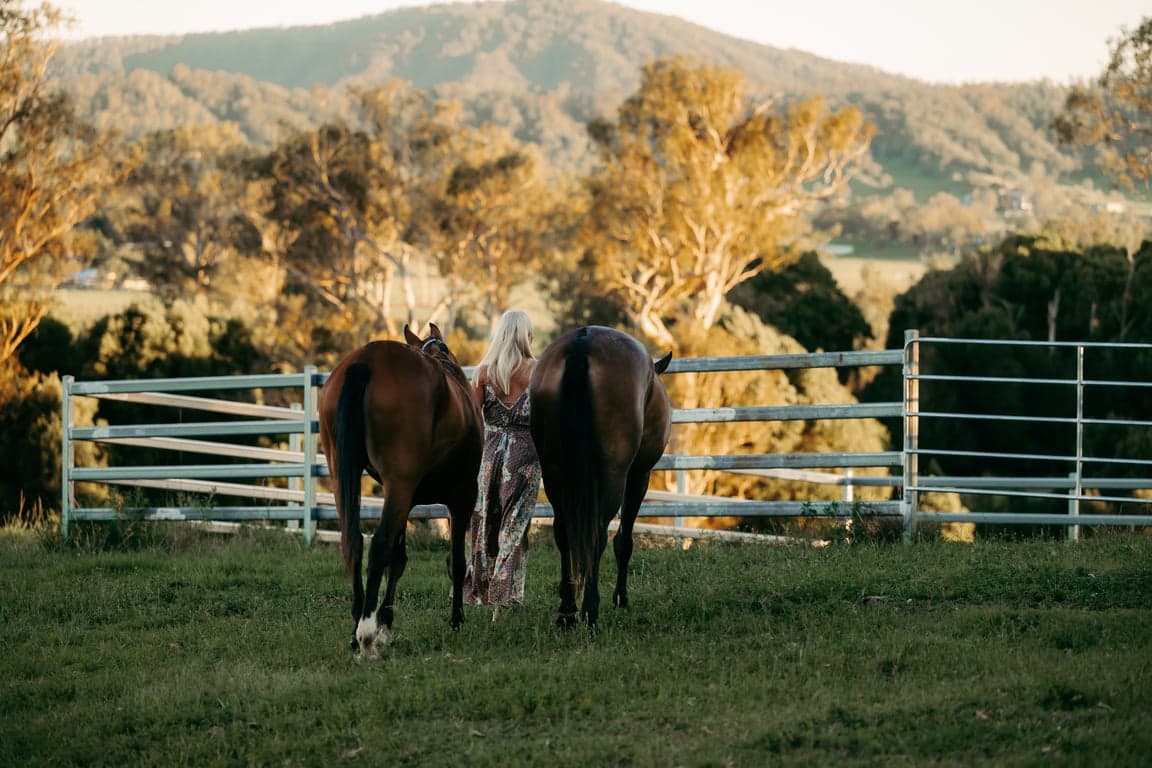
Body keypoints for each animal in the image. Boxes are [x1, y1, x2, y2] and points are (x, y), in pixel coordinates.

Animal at [318, 323, 483, 658]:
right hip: (401, 485)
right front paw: (456, 620)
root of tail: (366, 360)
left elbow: (398, 559)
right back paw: (366, 635)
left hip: (346, 477)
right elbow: (456, 561)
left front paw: (386, 624)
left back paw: (357, 628)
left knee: (354, 542)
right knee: (378, 545)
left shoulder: (406, 500)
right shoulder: (462, 496)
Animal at [529, 325, 672, 628]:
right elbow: (624, 540)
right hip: (613, 476)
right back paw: (589, 611)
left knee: (563, 531)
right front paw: (621, 598)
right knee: (598, 535)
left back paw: (567, 611)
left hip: (555, 473)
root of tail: (582, 343)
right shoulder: (639, 475)